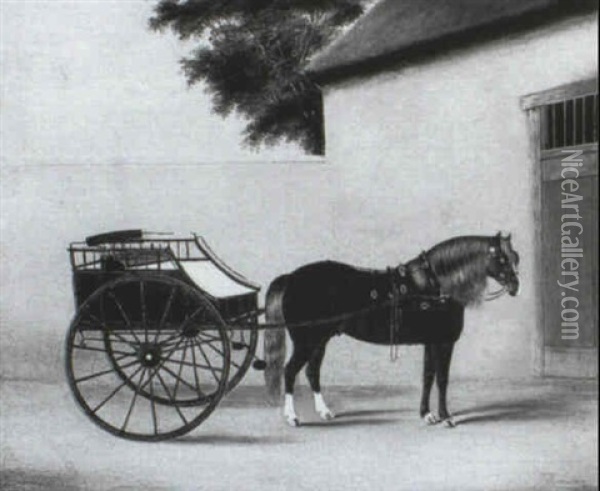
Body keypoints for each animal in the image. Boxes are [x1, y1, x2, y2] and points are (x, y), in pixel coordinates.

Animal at [262, 233, 520, 428]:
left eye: (515, 257)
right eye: (501, 258)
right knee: (289, 372)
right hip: (306, 342)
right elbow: (442, 379)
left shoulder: (431, 342)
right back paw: (292, 417)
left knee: (312, 372)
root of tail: (291, 277)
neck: (435, 285)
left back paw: (325, 412)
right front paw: (446, 417)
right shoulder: (443, 342)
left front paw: (427, 415)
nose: (515, 287)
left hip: (320, 341)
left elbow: (428, 377)